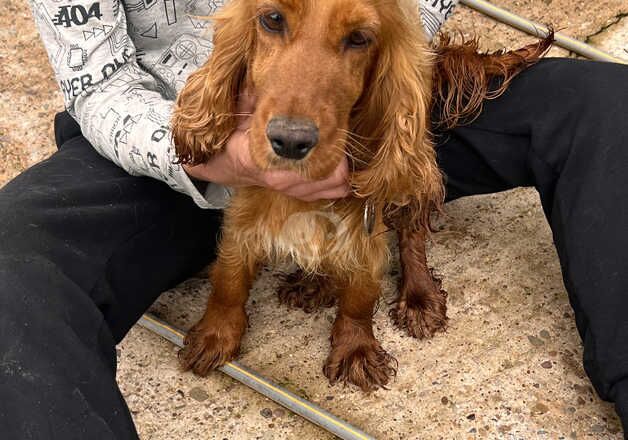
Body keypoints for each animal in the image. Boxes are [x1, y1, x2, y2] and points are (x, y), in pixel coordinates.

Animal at [172, 0, 548, 390]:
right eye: (272, 19)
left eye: (359, 38)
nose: (290, 141)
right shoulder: (243, 218)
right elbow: (229, 280)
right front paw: (215, 335)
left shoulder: (368, 229)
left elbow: (359, 297)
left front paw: (356, 350)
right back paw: (314, 284)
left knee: (412, 234)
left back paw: (419, 297)